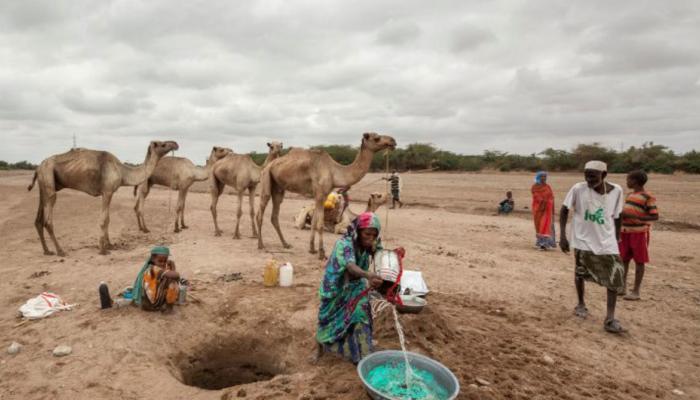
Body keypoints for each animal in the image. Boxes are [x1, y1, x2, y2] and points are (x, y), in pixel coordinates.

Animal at [26, 141, 180, 256]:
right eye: (162, 144)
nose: (175, 143)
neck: (123, 172)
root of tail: (38, 168)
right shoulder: (107, 191)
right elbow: (104, 219)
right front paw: (103, 249)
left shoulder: (109, 193)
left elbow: (108, 219)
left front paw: (110, 245)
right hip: (48, 178)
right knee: (48, 220)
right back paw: (60, 251)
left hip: (44, 185)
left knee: (38, 220)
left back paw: (47, 251)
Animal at [258, 132, 400, 260]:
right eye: (376, 138)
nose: (393, 141)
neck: (334, 172)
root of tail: (268, 165)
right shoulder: (320, 194)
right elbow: (320, 224)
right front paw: (321, 253)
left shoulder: (319, 195)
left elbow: (314, 222)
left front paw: (312, 249)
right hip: (266, 178)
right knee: (261, 211)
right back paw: (261, 245)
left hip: (278, 188)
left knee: (274, 215)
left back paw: (285, 244)